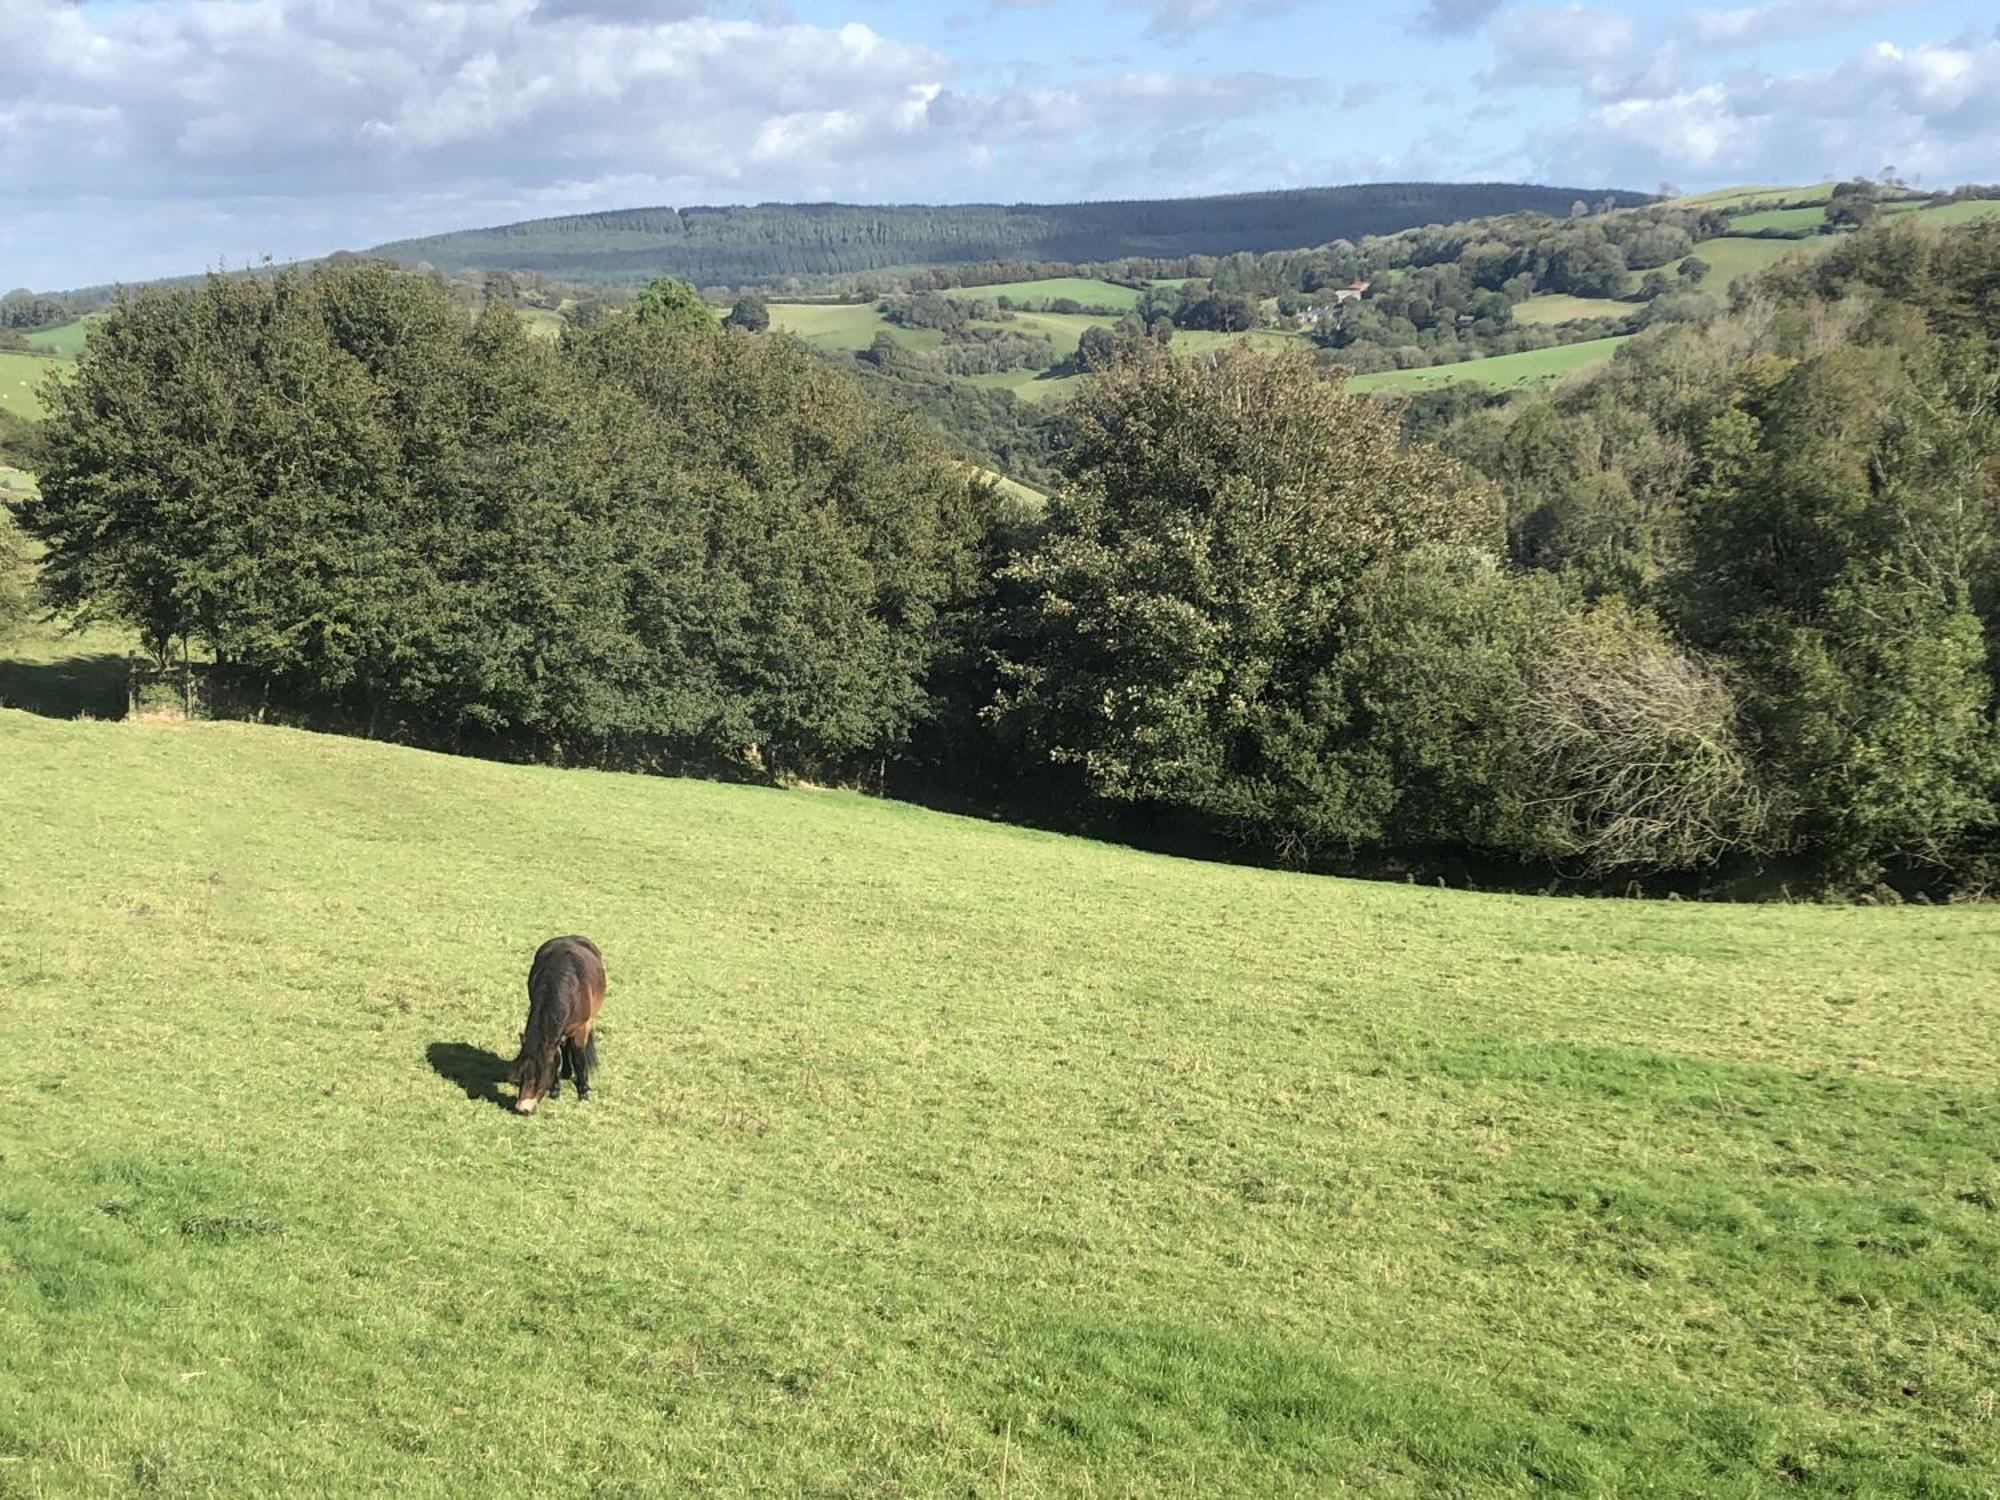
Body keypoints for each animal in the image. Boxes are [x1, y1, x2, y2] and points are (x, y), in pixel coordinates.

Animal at [508, 940, 600, 1120]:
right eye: (522, 1073)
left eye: (541, 1075)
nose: (523, 1108)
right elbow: (556, 1055)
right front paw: (556, 1089)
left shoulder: (580, 1029)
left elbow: (579, 1057)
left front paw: (583, 1091)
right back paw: (566, 1072)